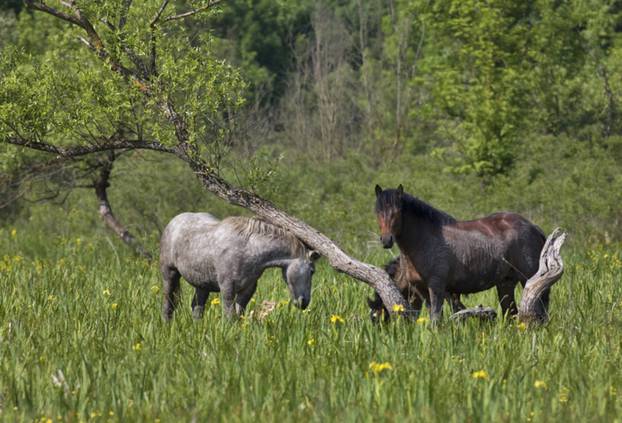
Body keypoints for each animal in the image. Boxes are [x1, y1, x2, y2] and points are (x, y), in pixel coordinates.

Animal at [161, 214, 320, 320]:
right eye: (312, 271)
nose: (304, 302)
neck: (249, 249)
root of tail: (173, 221)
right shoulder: (227, 288)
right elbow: (230, 316)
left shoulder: (247, 290)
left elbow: (239, 315)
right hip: (170, 274)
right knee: (168, 305)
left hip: (202, 284)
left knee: (197, 308)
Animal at [372, 185, 548, 322]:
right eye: (378, 212)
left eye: (397, 212)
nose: (386, 240)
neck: (424, 240)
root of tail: (533, 227)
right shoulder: (422, 290)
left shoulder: (438, 288)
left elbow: (437, 320)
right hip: (506, 283)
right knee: (511, 314)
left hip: (528, 280)